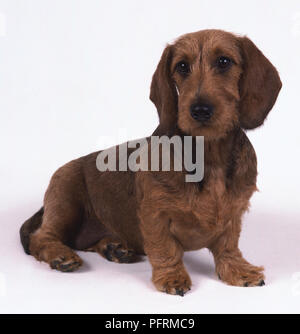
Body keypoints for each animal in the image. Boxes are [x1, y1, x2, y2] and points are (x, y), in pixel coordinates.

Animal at [20, 28, 282, 294]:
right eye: (182, 66)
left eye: (224, 61)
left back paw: (114, 247)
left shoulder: (233, 213)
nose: (199, 110)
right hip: (65, 199)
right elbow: (164, 247)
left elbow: (228, 246)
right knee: (41, 237)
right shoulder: (155, 213)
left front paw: (239, 270)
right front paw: (172, 276)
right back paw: (60, 255)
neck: (210, 155)